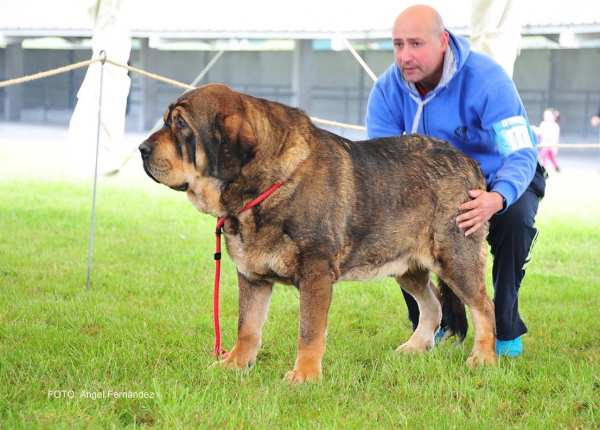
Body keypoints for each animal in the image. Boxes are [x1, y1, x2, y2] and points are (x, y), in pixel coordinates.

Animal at [141, 83, 496, 382]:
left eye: (181, 125)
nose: (143, 149)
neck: (266, 186)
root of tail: (469, 162)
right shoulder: (252, 277)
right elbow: (247, 326)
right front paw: (235, 365)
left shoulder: (315, 273)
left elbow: (308, 331)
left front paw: (305, 375)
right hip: (405, 267)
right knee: (432, 304)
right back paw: (415, 347)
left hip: (455, 260)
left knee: (483, 306)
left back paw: (484, 358)